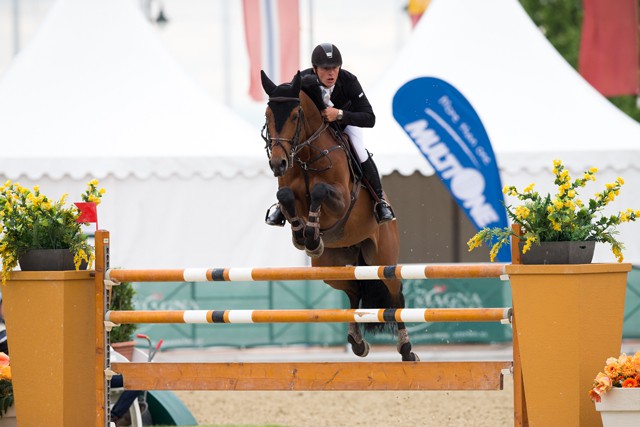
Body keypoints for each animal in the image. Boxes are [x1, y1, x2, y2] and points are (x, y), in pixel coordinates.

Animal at [262, 71, 420, 362]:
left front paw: (311, 234)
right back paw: (356, 342)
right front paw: (304, 235)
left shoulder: (343, 200)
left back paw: (406, 349)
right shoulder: (289, 192)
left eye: (295, 115)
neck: (306, 155)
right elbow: (285, 196)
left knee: (396, 295)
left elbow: (320, 191)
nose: (278, 163)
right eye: (268, 114)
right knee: (353, 290)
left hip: (383, 259)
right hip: (329, 267)